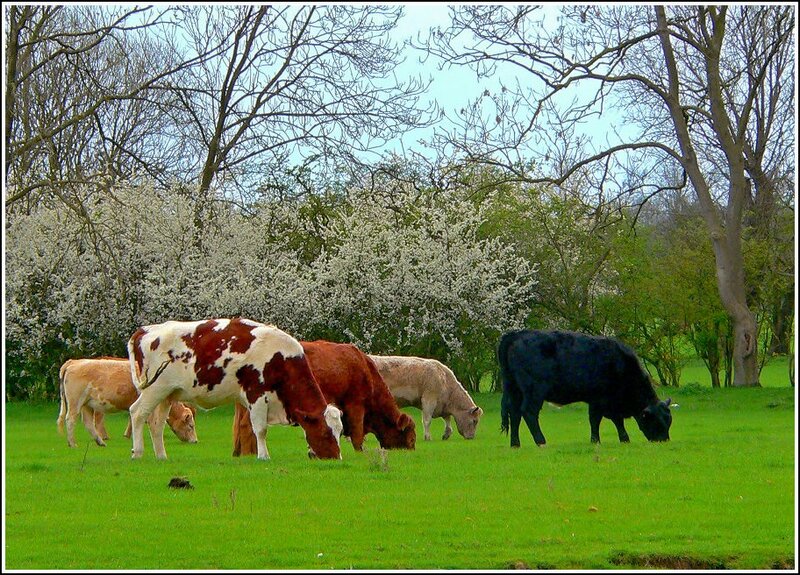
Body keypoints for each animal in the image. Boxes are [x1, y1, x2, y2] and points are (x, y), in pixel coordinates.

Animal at [56, 357, 197, 448]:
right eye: (191, 426)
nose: (195, 441)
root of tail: (74, 362)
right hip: (75, 402)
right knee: (70, 420)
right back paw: (72, 443)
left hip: (87, 404)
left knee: (88, 423)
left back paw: (100, 442)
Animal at [127, 318, 343, 461]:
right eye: (325, 433)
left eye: (339, 432)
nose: (336, 458)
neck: (280, 358)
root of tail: (146, 329)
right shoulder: (257, 394)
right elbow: (261, 429)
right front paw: (263, 456)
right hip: (154, 389)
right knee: (137, 413)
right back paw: (138, 453)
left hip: (167, 395)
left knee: (156, 423)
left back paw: (161, 456)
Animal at [232, 340, 416, 456]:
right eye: (411, 435)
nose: (411, 451)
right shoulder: (356, 405)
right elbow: (357, 435)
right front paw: (360, 453)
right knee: (246, 426)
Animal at [497, 329, 672, 447]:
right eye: (657, 422)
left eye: (668, 421)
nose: (664, 441)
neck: (621, 366)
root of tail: (517, 334)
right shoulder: (602, 400)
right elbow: (604, 420)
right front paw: (613, 439)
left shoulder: (600, 402)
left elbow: (603, 420)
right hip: (534, 391)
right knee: (528, 412)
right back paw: (541, 441)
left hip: (514, 390)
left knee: (515, 414)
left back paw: (515, 444)